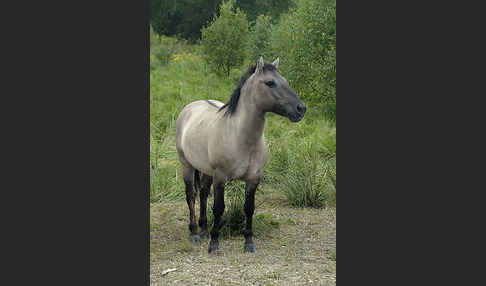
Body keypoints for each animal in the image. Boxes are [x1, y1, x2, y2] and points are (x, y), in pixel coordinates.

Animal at [175, 57, 306, 254]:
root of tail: (190, 108)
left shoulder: (253, 178)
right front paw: (214, 244)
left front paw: (249, 243)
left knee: (203, 194)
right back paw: (195, 234)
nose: (301, 109)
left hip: (206, 170)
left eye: (285, 81)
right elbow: (219, 208)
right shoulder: (220, 177)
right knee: (191, 196)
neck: (240, 138)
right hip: (187, 166)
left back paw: (204, 230)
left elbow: (249, 208)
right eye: (270, 83)